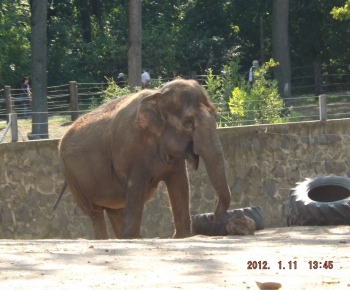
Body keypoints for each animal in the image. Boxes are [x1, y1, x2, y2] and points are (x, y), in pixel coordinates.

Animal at [56, 78, 231, 239]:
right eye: (188, 122)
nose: (211, 217)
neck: (158, 95)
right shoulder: (132, 149)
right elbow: (137, 186)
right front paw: (132, 237)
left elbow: (180, 183)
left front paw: (184, 236)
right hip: (71, 175)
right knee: (95, 213)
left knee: (115, 210)